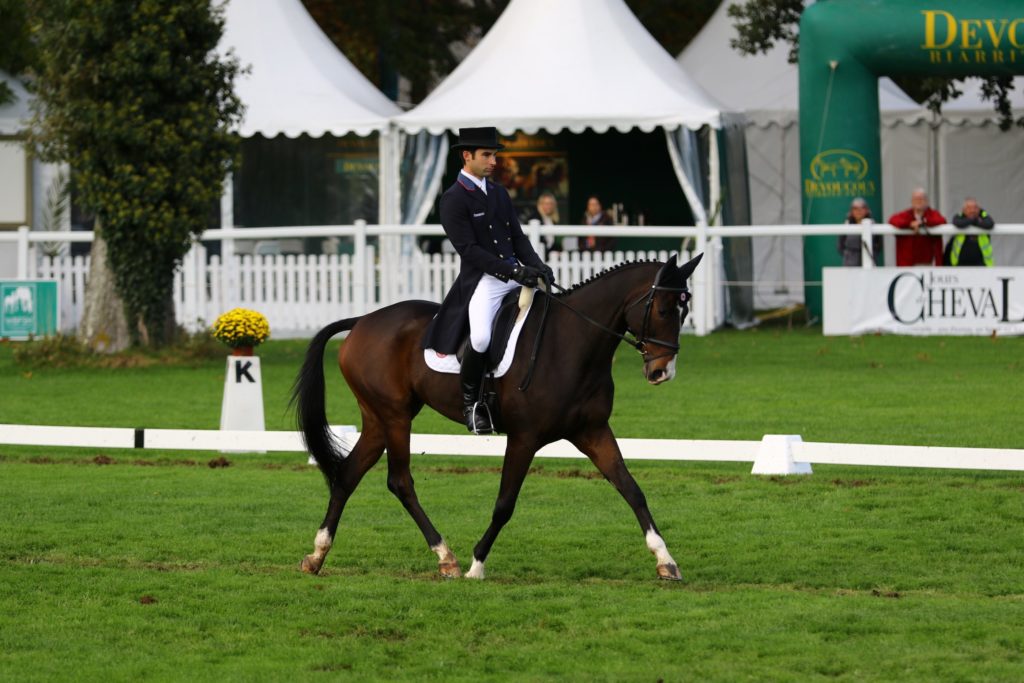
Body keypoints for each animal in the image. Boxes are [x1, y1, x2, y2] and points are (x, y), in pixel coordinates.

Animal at [292, 250, 700, 581]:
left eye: (685, 311)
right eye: (663, 309)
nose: (661, 372)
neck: (571, 343)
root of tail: (362, 320)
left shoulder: (593, 431)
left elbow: (632, 489)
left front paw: (666, 561)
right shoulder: (524, 438)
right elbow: (505, 504)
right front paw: (477, 566)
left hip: (379, 418)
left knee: (348, 475)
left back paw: (316, 555)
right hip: (395, 417)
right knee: (400, 481)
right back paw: (446, 558)